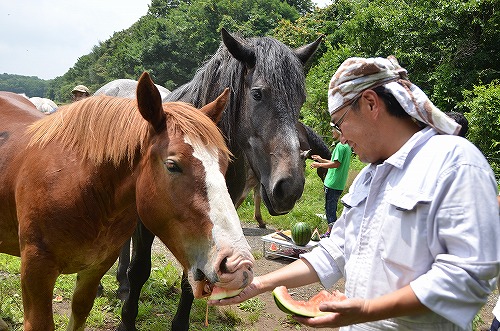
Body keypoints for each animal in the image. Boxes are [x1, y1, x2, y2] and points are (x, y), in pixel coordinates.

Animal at [0, 73, 252, 331]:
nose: (237, 263)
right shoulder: (36, 272)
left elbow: (79, 312)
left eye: (224, 165)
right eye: (172, 165)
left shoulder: (94, 271)